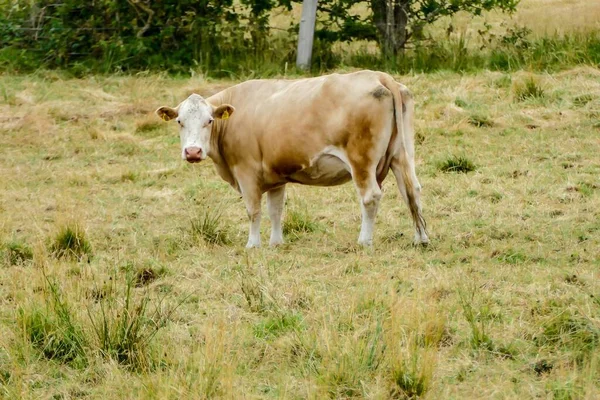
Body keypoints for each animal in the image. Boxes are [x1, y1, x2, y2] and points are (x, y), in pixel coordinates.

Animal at [155, 71, 426, 247]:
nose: (192, 152)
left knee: (370, 197)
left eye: (209, 121)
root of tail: (379, 75)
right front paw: (276, 243)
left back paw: (364, 241)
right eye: (179, 121)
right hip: (402, 155)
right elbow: (275, 210)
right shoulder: (275, 176)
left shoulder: (246, 171)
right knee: (411, 190)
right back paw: (421, 238)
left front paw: (253, 245)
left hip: (362, 161)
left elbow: (253, 210)